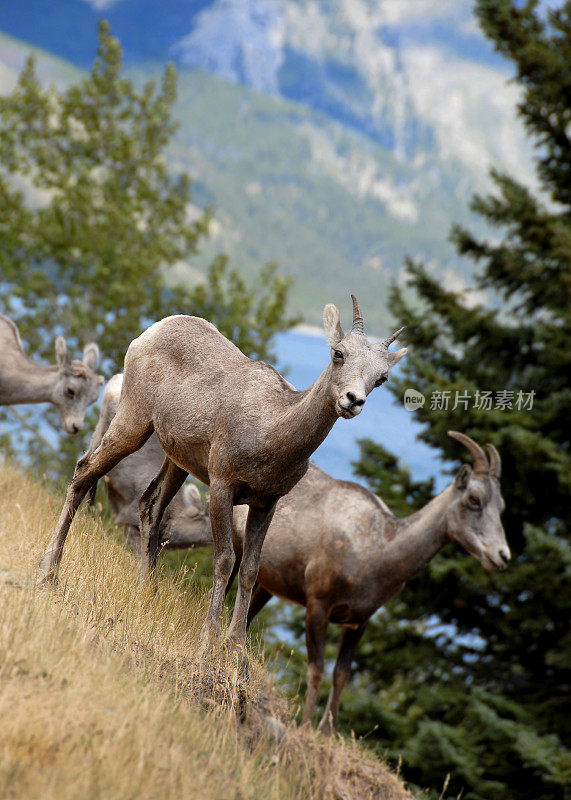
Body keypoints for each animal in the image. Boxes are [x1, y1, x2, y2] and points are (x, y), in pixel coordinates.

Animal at [231, 432, 510, 732]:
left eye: (501, 505)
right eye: (474, 499)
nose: (501, 556)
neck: (374, 550)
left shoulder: (359, 621)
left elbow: (341, 674)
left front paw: (327, 731)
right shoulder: (318, 608)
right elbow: (317, 669)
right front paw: (306, 726)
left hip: (267, 586)